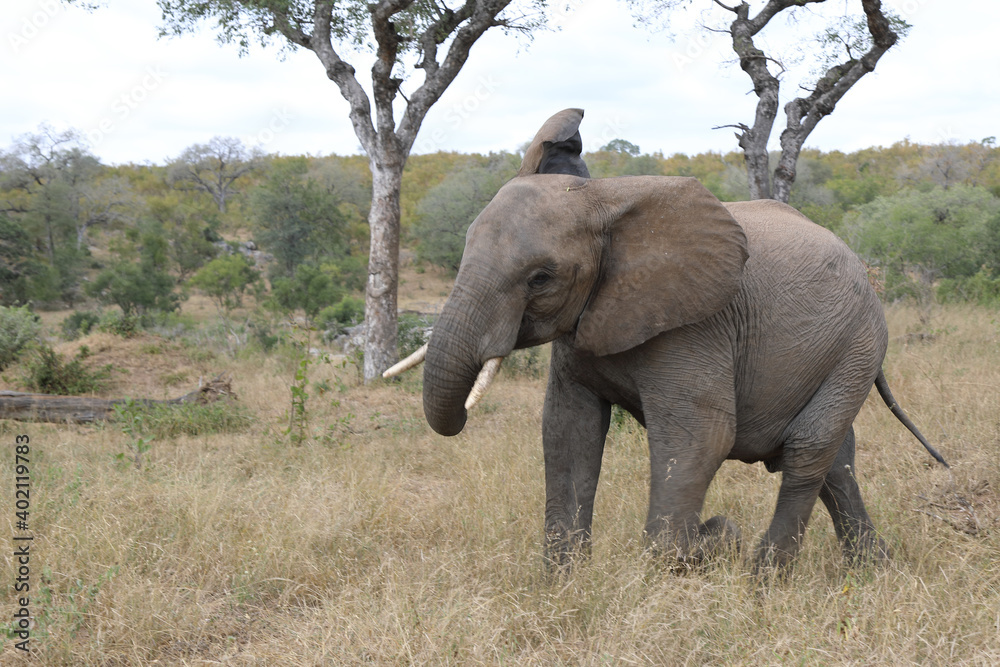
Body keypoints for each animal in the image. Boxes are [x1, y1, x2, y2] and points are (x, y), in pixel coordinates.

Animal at [386, 109, 947, 572]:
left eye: (540, 278)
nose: (716, 530)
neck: (606, 201)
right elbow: (568, 430)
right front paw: (565, 583)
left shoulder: (697, 324)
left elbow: (699, 437)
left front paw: (696, 552)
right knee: (837, 460)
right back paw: (872, 571)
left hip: (860, 341)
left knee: (809, 449)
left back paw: (766, 576)